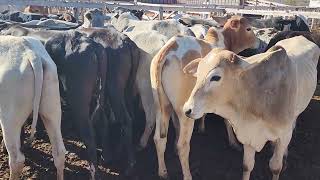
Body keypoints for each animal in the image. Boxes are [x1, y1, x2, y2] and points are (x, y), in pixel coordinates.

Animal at [182, 35, 320, 180]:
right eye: (197, 74)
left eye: (215, 77)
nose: (187, 109)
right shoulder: (248, 136)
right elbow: (247, 166)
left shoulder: (283, 136)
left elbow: (276, 167)